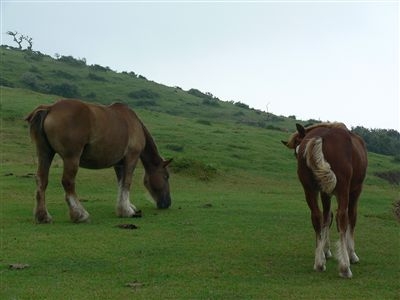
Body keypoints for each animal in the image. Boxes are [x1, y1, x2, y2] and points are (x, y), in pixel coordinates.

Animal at [25, 99, 173, 224]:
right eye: (166, 177)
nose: (167, 203)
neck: (134, 123)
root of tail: (50, 108)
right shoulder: (132, 158)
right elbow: (127, 183)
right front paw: (127, 211)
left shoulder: (119, 164)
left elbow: (121, 184)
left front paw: (124, 207)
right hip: (71, 158)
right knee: (68, 182)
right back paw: (80, 214)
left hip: (45, 154)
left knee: (42, 180)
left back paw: (43, 216)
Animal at [282, 123, 368, 278]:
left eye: (297, 152)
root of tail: (321, 137)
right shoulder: (355, 190)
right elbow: (351, 218)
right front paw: (351, 254)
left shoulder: (324, 192)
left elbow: (326, 218)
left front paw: (324, 251)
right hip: (344, 189)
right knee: (342, 217)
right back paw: (345, 267)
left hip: (309, 189)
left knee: (317, 216)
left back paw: (319, 263)